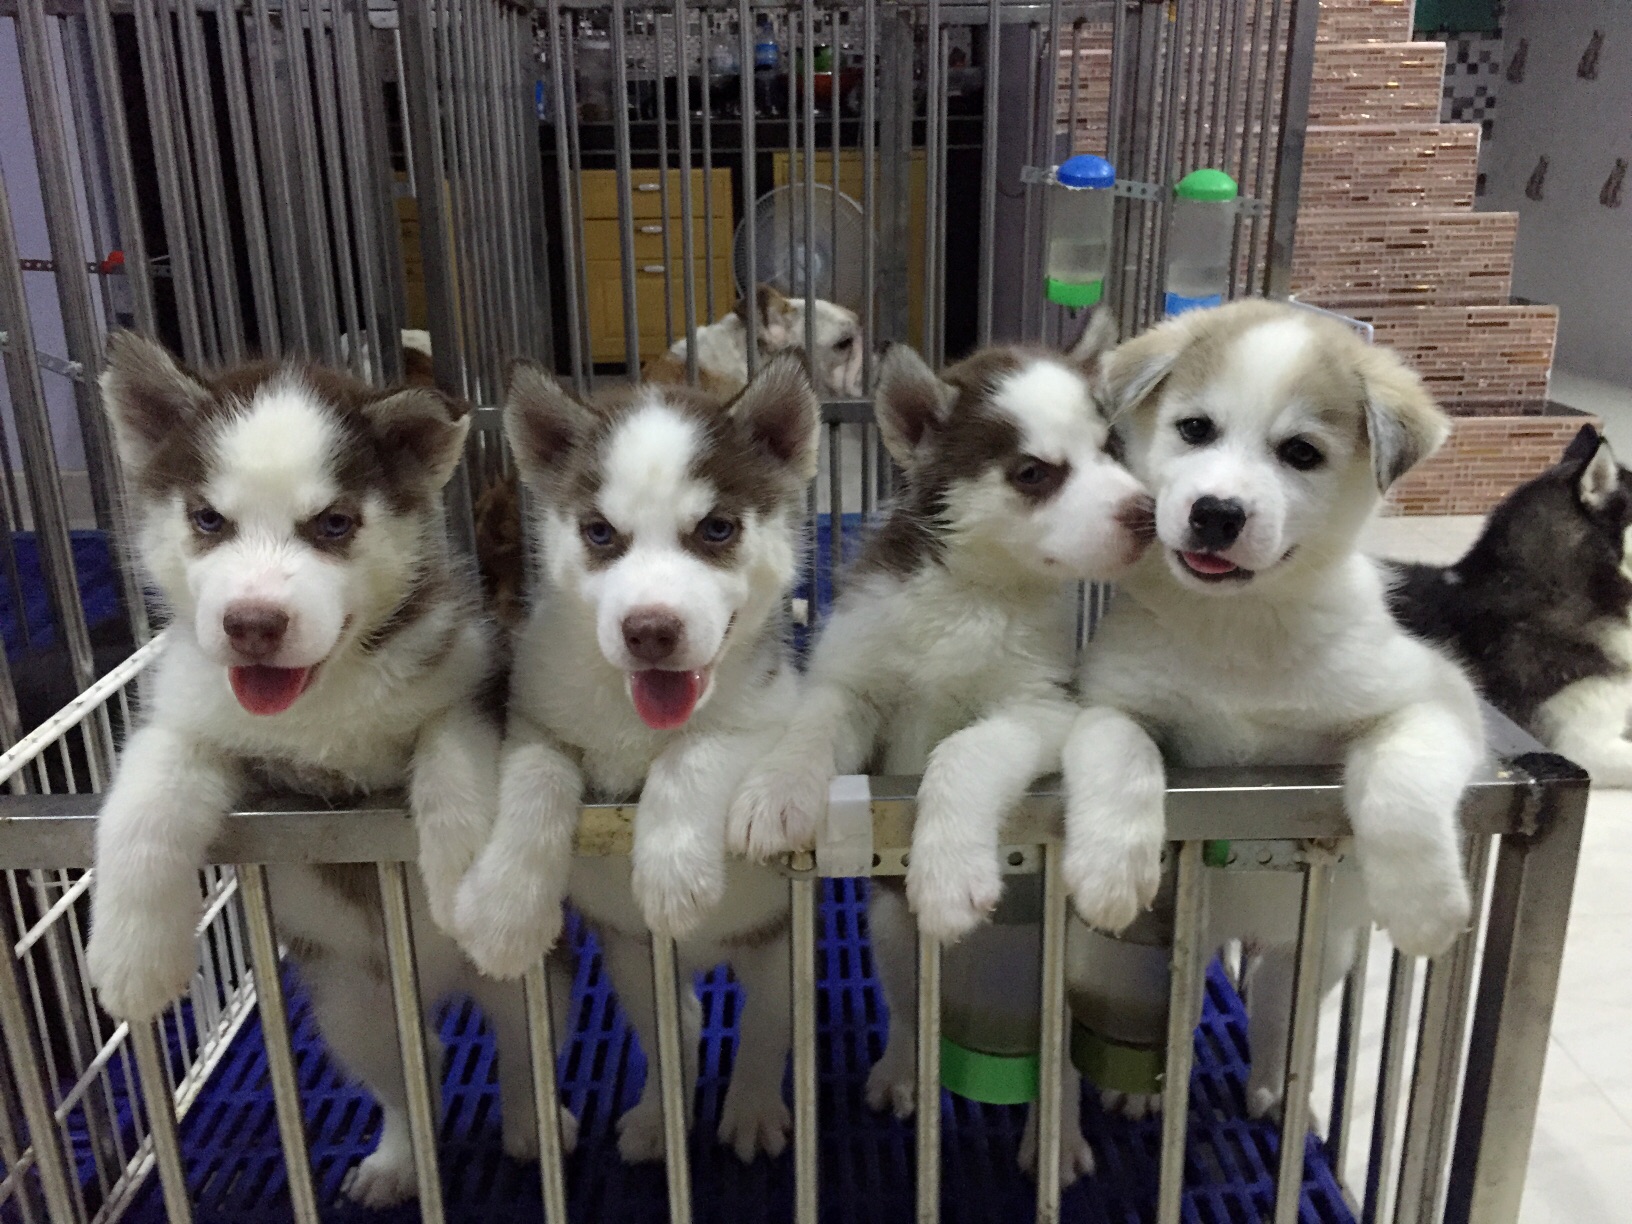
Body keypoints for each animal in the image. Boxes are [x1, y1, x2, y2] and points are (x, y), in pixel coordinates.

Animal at [85, 334, 569, 1206]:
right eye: (207, 520)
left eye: (333, 524)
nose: (252, 623)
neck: (323, 698)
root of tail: (428, 988)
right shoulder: (191, 716)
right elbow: (142, 803)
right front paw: (131, 955)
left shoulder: (472, 676)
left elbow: (455, 762)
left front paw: (465, 880)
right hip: (351, 1006)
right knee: (409, 1069)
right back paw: (400, 1158)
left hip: (535, 984)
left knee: (522, 1045)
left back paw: (531, 1123)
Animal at [451, 352, 821, 1164]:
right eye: (599, 532)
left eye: (716, 529)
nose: (650, 629)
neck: (632, 716)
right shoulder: (535, 715)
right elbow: (536, 778)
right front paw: (505, 907)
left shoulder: (771, 713)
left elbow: (698, 753)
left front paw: (673, 871)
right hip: (631, 957)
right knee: (671, 1026)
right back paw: (659, 1114)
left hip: (774, 946)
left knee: (767, 1023)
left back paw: (751, 1107)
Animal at [727, 315, 1153, 1185]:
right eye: (1033, 473)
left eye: (1112, 450)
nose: (1147, 512)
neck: (973, 597)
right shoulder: (852, 680)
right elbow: (814, 727)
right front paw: (774, 793)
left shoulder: (1043, 708)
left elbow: (965, 749)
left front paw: (950, 867)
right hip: (891, 933)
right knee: (910, 1006)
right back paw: (902, 1068)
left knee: (1059, 1055)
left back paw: (1056, 1134)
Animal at [1060, 299, 1481, 1119]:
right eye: (1196, 429)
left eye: (1301, 453)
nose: (1216, 513)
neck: (1241, 631)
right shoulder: (1106, 698)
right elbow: (1119, 750)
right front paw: (1110, 871)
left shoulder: (1438, 700)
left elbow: (1402, 784)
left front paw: (1425, 907)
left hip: (1316, 951)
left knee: (1284, 1012)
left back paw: (1277, 1093)